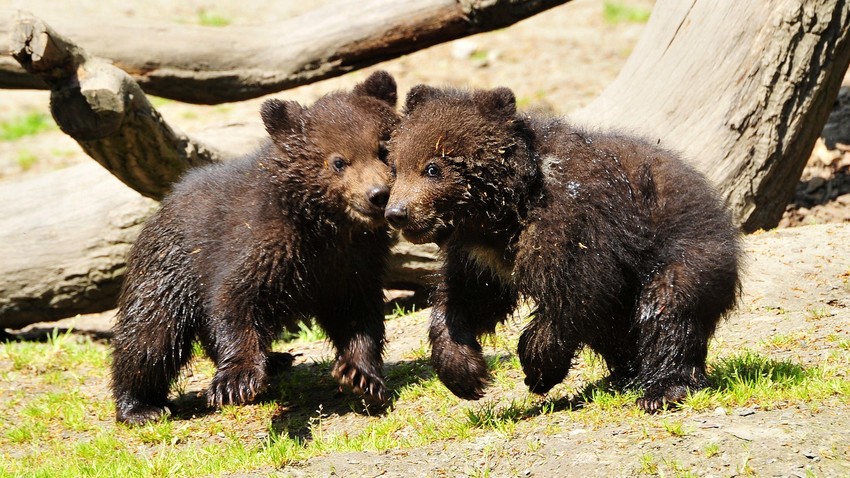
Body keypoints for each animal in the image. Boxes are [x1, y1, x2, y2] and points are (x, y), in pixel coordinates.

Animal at [110, 70, 400, 425]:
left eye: (383, 148)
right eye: (338, 162)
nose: (378, 194)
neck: (324, 227)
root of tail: (162, 204)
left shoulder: (352, 264)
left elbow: (359, 315)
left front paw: (362, 376)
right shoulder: (260, 245)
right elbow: (235, 299)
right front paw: (236, 381)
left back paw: (276, 359)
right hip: (168, 271)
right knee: (149, 336)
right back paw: (140, 406)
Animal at [384, 85, 741, 413]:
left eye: (433, 168)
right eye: (396, 166)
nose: (397, 213)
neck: (505, 214)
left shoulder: (576, 223)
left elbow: (576, 292)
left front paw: (537, 367)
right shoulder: (482, 257)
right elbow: (469, 299)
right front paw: (466, 374)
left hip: (686, 249)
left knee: (669, 308)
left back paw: (662, 388)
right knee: (616, 326)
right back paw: (624, 374)